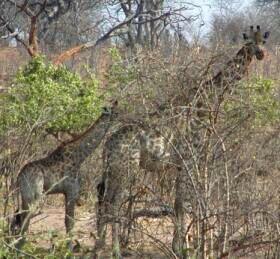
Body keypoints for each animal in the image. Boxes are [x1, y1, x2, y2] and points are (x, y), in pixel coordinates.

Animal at [10, 101, 118, 244]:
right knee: (26, 216)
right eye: (116, 112)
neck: (80, 157)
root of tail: (19, 177)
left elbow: (68, 222)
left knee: (20, 215)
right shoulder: (72, 191)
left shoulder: (67, 193)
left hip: (25, 195)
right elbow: (70, 222)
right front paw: (70, 246)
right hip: (36, 193)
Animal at [94, 25, 270, 258]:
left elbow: (179, 203)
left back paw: (98, 247)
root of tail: (107, 146)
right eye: (249, 42)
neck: (206, 100)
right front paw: (185, 248)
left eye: (263, 41)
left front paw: (181, 246)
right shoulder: (190, 157)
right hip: (125, 169)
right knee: (113, 204)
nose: (261, 54)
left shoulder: (181, 163)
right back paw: (114, 251)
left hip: (113, 171)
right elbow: (183, 203)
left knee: (103, 200)